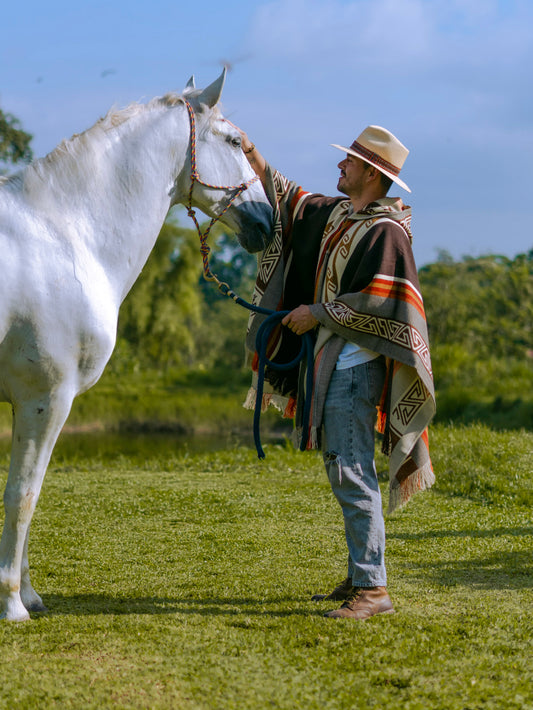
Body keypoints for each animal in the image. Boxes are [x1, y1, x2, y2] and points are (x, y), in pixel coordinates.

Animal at [0, 69, 272, 620]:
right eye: (235, 142)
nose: (267, 221)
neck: (63, 235)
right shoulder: (44, 398)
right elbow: (23, 495)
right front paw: (13, 603)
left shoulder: (24, 402)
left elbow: (26, 496)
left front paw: (29, 593)